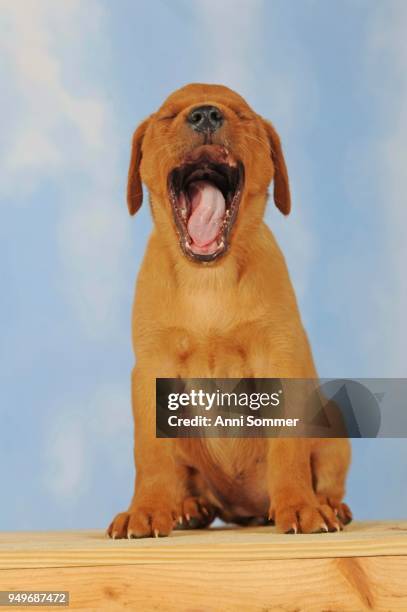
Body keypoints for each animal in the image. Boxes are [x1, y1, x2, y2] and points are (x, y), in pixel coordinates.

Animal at [107, 83, 352, 536]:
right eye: (168, 116)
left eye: (240, 114)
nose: (205, 114)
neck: (209, 279)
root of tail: (245, 509)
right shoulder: (150, 370)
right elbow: (150, 456)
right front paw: (147, 509)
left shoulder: (280, 360)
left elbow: (288, 451)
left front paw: (300, 506)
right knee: (187, 480)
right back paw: (188, 507)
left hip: (333, 422)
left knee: (327, 475)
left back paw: (325, 503)